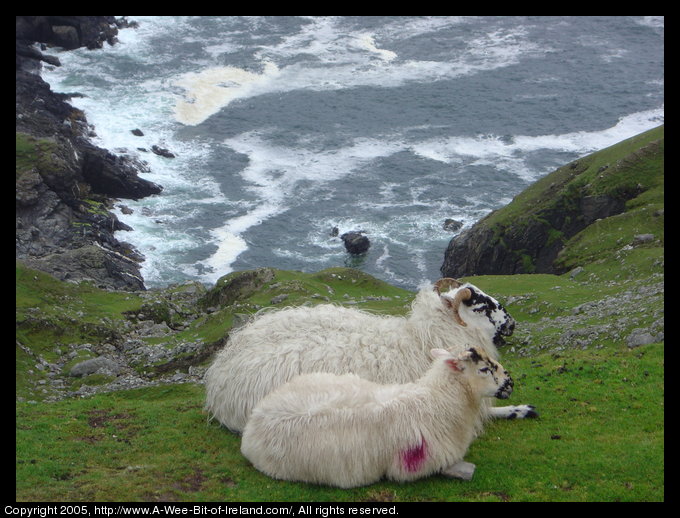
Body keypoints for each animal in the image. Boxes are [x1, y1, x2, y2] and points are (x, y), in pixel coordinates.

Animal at [205, 278, 532, 432]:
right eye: (482, 306)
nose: (513, 324)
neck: (420, 340)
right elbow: (482, 411)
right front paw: (516, 410)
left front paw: (520, 408)